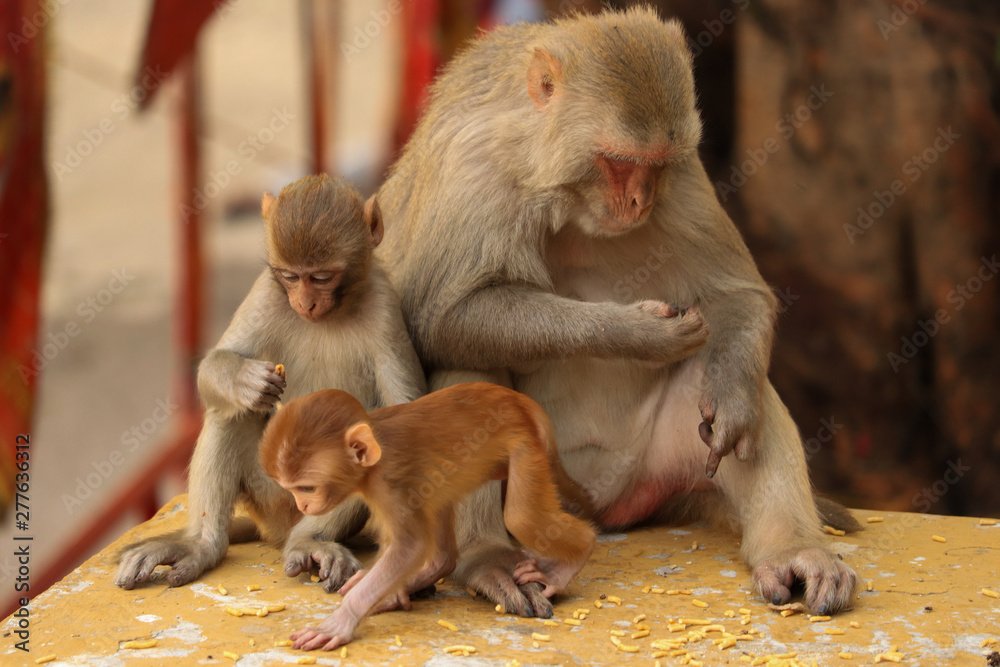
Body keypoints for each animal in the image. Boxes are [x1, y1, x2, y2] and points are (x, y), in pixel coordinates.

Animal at [114, 175, 426, 592]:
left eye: (322, 276)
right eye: (290, 276)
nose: (306, 303)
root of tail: (278, 528)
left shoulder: (385, 305)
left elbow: (403, 420)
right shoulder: (267, 291)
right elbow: (213, 366)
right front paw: (247, 380)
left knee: (368, 444)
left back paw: (309, 541)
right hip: (268, 491)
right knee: (232, 413)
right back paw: (201, 545)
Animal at [262, 384, 596, 648]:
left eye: (307, 488)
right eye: (291, 489)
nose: (302, 506)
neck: (375, 451)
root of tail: (519, 400)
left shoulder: (389, 485)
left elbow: (409, 546)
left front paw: (342, 620)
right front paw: (390, 592)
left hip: (524, 447)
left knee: (519, 516)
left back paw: (571, 560)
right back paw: (429, 571)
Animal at [378, 6, 864, 620]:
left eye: (654, 165)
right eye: (616, 162)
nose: (641, 202)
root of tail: (603, 510)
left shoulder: (684, 169)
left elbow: (737, 295)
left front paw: (732, 401)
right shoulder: (475, 171)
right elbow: (441, 315)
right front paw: (637, 332)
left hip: (658, 468)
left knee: (727, 377)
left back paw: (793, 550)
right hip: (545, 493)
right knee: (468, 365)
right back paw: (487, 556)